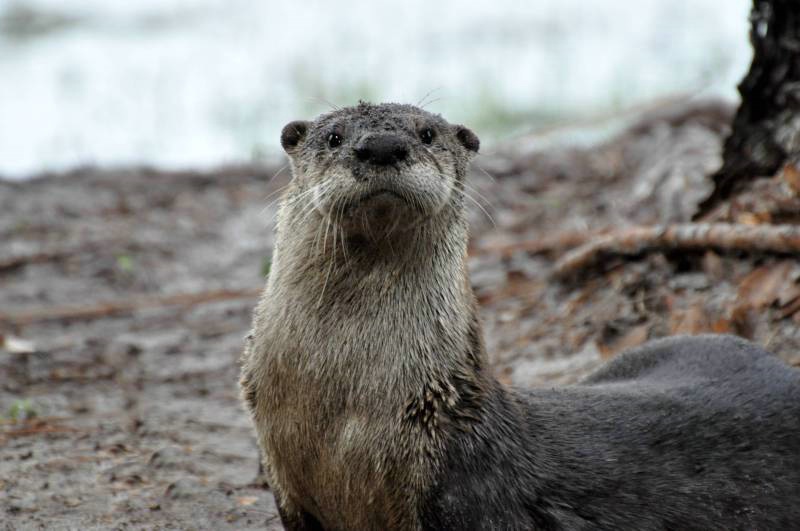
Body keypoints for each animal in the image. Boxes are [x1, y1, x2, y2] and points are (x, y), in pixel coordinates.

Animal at [241, 102, 800, 528]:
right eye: (333, 136)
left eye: (426, 133)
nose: (381, 146)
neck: (346, 426)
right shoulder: (288, 488)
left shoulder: (465, 494)